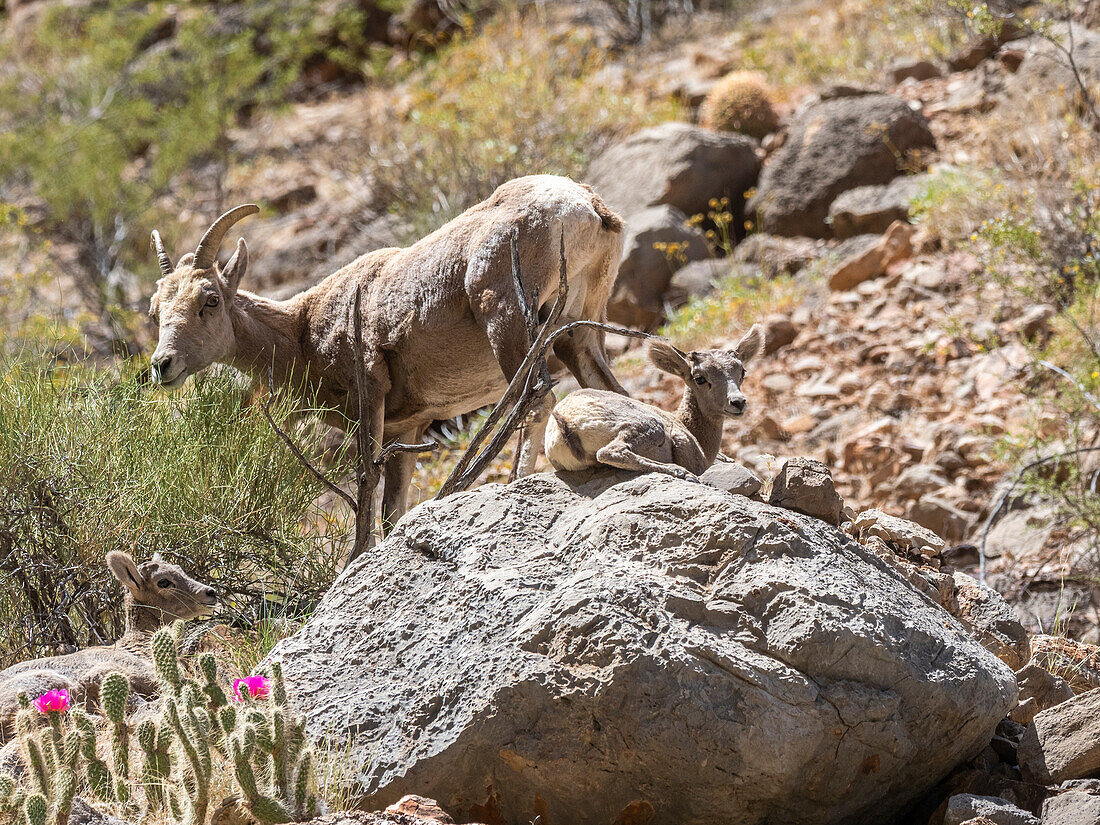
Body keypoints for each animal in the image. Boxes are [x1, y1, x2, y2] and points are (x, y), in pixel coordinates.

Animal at [0, 556, 216, 743]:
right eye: (163, 582)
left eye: (180, 569)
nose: (210, 592)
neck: (137, 648)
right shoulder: (108, 673)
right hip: (49, 684)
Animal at [149, 178, 624, 532]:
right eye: (155, 311)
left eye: (210, 300)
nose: (162, 365)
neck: (301, 333)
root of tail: (585, 207)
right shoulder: (408, 429)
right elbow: (392, 508)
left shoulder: (370, 399)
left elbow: (367, 490)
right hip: (578, 333)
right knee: (606, 390)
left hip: (506, 322)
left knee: (537, 399)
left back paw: (512, 484)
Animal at [543, 323, 765, 477]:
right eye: (700, 378)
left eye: (742, 372)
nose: (738, 402)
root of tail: (564, 422)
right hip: (649, 427)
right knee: (610, 452)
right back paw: (682, 473)